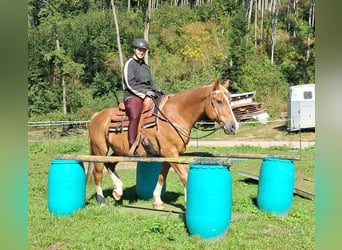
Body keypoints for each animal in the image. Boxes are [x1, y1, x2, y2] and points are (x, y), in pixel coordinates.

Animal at [87, 77, 239, 209]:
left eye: (231, 99)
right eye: (219, 101)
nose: (234, 126)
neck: (175, 115)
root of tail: (96, 115)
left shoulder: (169, 155)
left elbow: (161, 176)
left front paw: (157, 201)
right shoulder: (171, 153)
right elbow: (184, 176)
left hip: (120, 151)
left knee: (110, 164)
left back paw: (118, 191)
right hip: (100, 150)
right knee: (98, 172)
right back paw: (102, 200)